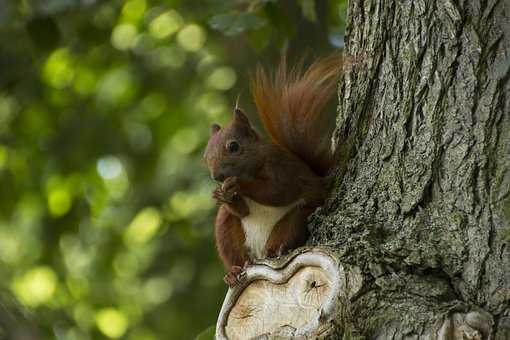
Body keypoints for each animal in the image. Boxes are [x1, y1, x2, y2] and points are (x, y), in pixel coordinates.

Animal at [201, 55, 340, 286]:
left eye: (233, 146)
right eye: (205, 155)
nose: (217, 177)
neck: (255, 164)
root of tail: (258, 254)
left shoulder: (281, 166)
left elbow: (277, 191)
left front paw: (239, 185)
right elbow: (243, 210)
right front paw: (220, 195)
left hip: (295, 218)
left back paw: (277, 249)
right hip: (227, 230)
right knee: (236, 250)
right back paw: (233, 272)